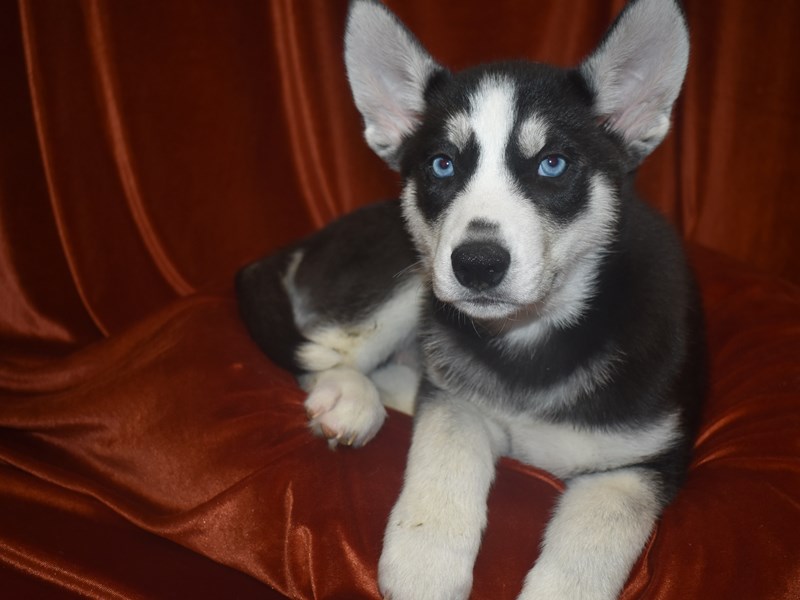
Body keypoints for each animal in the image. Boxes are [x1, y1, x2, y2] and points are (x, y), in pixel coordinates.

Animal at [238, 1, 708, 596]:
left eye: (553, 163)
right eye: (442, 164)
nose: (477, 264)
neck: (533, 339)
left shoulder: (640, 462)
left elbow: (594, 541)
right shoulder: (456, 400)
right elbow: (445, 457)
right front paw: (425, 566)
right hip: (407, 277)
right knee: (327, 347)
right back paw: (350, 397)